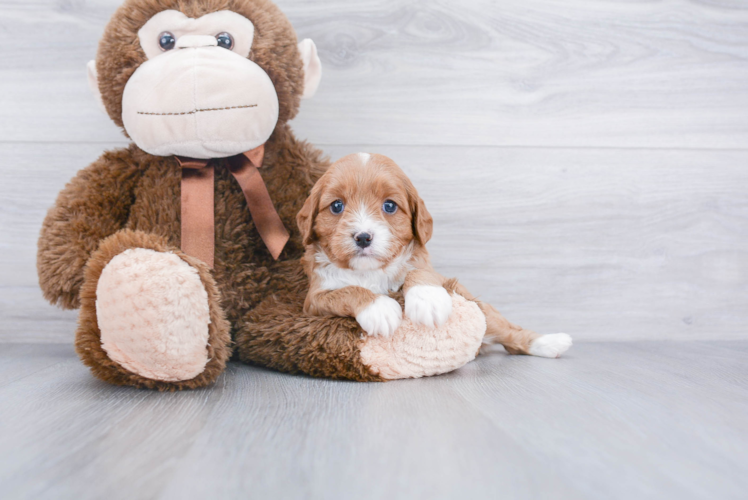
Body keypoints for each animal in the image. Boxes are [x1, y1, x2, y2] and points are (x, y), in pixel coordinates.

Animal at [298, 153, 572, 360]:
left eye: (389, 206)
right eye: (336, 206)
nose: (363, 237)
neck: (369, 271)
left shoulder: (433, 270)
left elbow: (420, 271)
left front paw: (427, 300)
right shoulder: (314, 301)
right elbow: (346, 291)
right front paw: (378, 308)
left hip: (482, 309)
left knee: (511, 333)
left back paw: (551, 342)